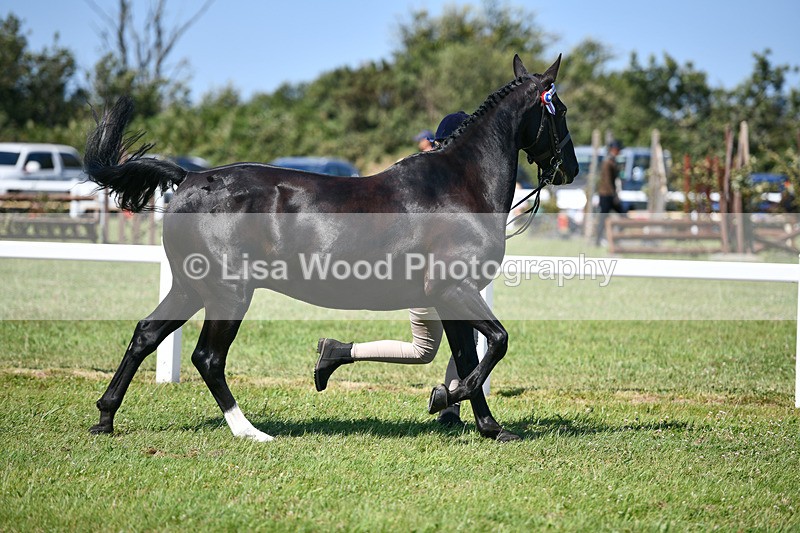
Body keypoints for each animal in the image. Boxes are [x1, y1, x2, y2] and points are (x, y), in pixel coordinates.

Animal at [84, 54, 579, 442]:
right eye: (560, 110)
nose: (570, 169)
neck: (459, 186)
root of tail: (188, 177)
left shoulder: (448, 298)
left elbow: (468, 356)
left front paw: (486, 424)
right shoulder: (454, 291)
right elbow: (496, 343)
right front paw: (448, 398)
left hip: (191, 288)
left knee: (146, 335)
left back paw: (105, 418)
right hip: (228, 293)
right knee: (208, 358)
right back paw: (250, 431)